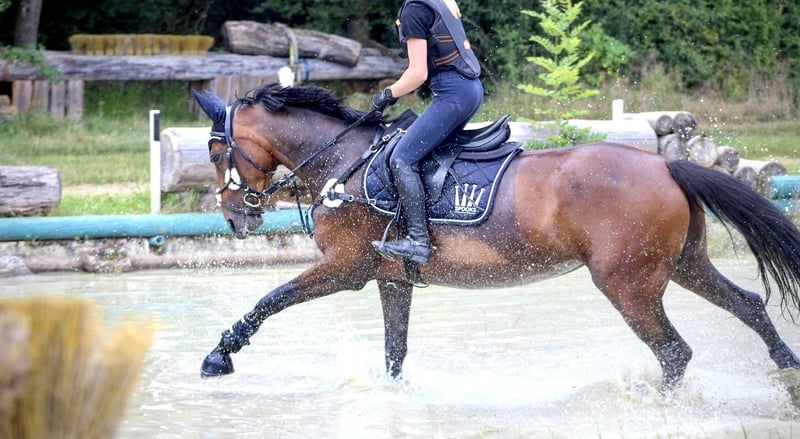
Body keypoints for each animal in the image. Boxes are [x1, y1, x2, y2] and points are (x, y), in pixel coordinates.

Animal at [193, 83, 800, 392]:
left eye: (216, 151)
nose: (234, 219)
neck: (344, 163)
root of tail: (666, 164)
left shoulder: (345, 268)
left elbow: (270, 299)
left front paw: (219, 356)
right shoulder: (392, 279)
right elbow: (395, 350)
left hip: (628, 283)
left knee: (674, 351)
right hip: (681, 265)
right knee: (748, 304)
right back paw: (785, 364)